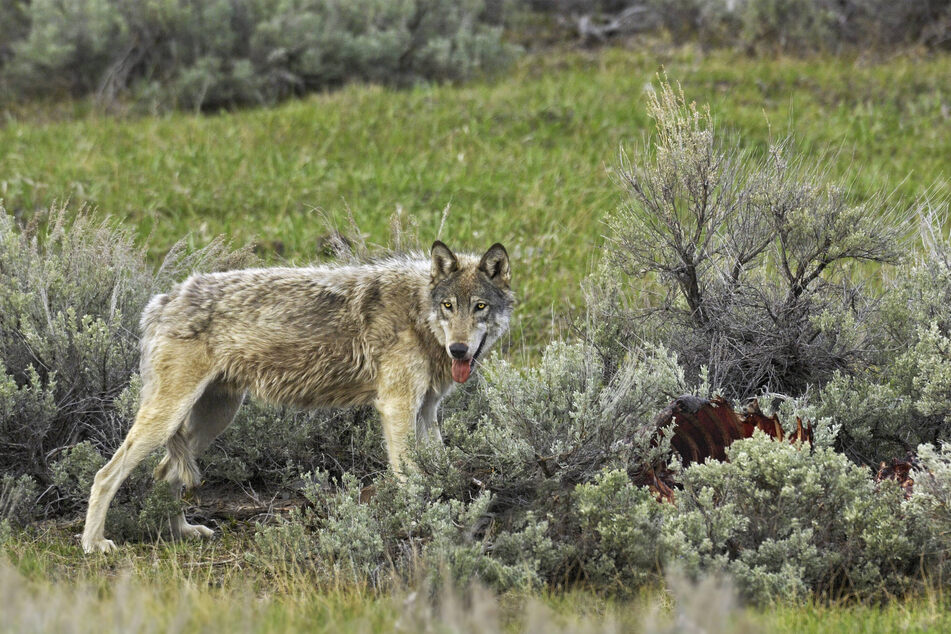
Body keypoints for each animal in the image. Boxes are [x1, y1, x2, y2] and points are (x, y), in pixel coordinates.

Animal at [81, 239, 512, 552]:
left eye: (479, 307)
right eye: (448, 306)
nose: (459, 350)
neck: (419, 312)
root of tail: (161, 300)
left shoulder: (426, 410)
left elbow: (441, 471)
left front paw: (451, 516)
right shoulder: (397, 406)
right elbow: (410, 478)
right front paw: (420, 521)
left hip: (214, 417)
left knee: (164, 472)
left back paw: (180, 532)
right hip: (169, 416)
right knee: (105, 475)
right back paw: (94, 544)